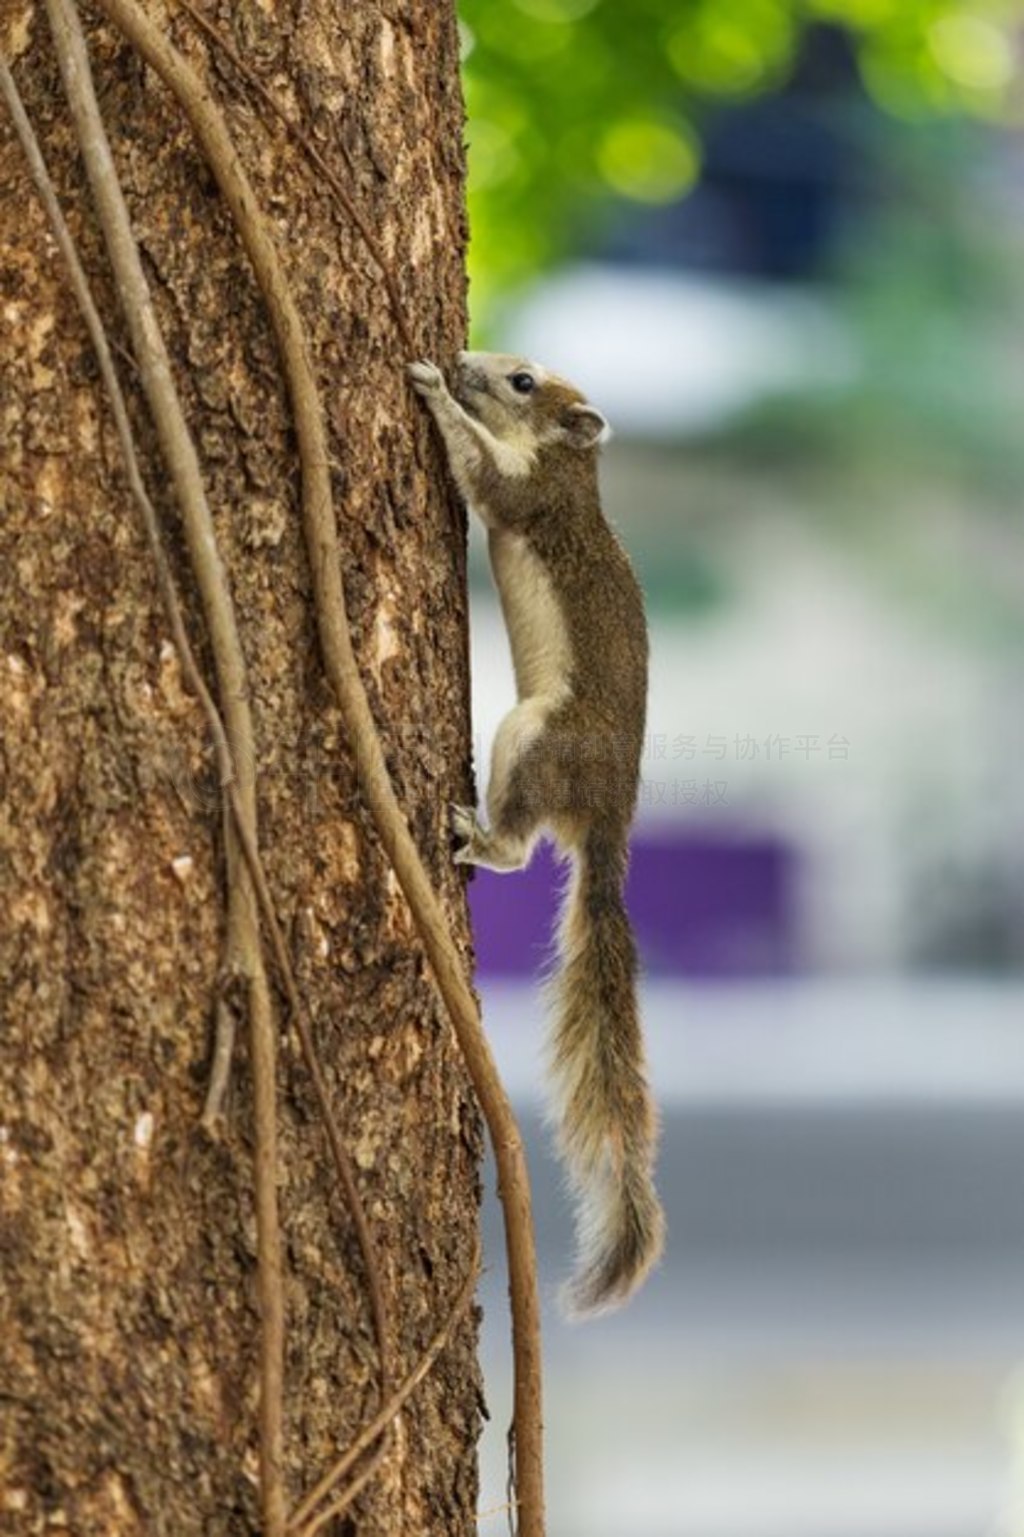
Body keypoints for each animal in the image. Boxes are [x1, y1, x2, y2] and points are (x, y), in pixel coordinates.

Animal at [405, 353, 661, 1315]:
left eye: (520, 382)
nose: (466, 363)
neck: (572, 466)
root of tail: (608, 817)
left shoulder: (532, 497)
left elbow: (487, 482)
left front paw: (437, 396)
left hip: (536, 735)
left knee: (521, 848)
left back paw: (478, 836)